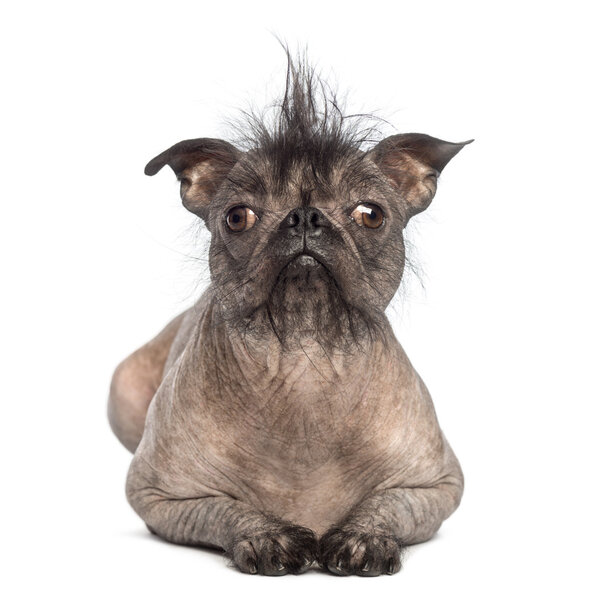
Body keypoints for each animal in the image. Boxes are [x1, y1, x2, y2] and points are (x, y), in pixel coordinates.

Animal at [109, 57, 468, 576]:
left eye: (370, 214)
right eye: (237, 217)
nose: (304, 216)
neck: (303, 359)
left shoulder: (436, 488)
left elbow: (388, 504)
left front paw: (364, 536)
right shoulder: (160, 497)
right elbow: (222, 509)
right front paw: (266, 536)